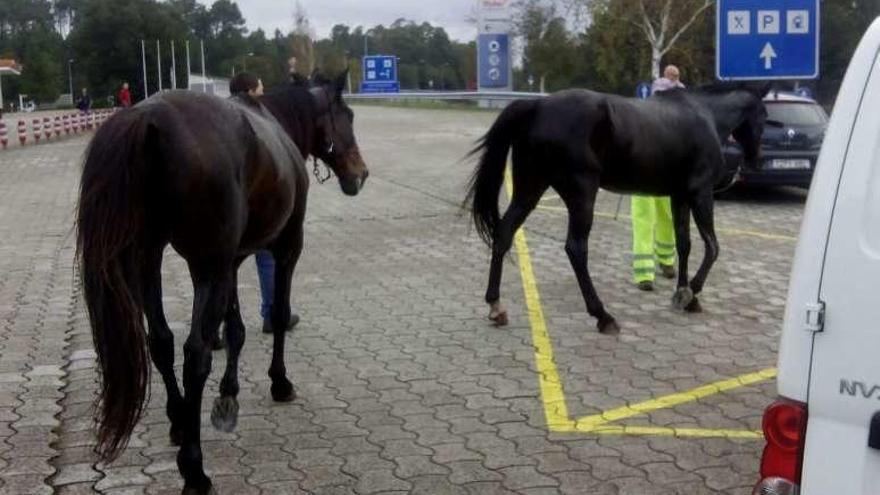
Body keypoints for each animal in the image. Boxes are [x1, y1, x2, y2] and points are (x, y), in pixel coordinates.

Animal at [74, 71, 366, 494]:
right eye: (348, 115)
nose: (360, 174)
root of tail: (148, 120)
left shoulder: (232, 260)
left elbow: (235, 329)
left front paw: (228, 395)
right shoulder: (285, 247)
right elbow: (277, 315)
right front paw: (279, 382)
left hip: (150, 259)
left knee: (161, 342)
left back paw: (180, 421)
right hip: (205, 267)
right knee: (195, 354)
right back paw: (194, 469)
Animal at [468, 84, 768, 338]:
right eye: (764, 116)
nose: (756, 160)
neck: (704, 115)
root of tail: (537, 107)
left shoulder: (679, 196)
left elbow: (684, 244)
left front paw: (684, 293)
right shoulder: (701, 194)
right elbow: (712, 247)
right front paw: (691, 292)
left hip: (529, 190)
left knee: (504, 233)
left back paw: (496, 306)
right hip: (581, 195)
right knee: (576, 249)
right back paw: (603, 315)